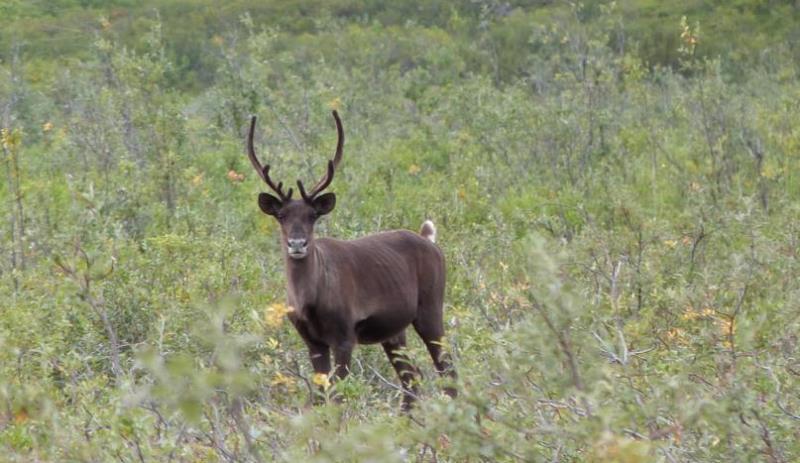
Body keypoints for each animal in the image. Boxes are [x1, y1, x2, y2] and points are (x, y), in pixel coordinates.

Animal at [244, 110, 456, 412]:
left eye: (312, 215)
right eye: (281, 216)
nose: (297, 244)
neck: (311, 300)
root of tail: (430, 240)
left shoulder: (344, 334)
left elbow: (338, 394)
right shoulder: (313, 341)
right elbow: (321, 396)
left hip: (430, 307)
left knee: (447, 369)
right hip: (394, 331)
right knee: (413, 377)